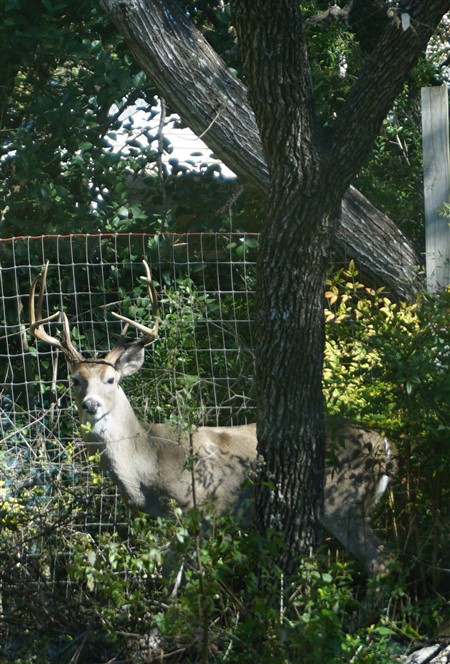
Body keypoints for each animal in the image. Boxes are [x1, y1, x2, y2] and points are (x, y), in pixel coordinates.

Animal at [29, 261, 394, 576]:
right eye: (75, 380)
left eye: (111, 380)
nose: (91, 405)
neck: (147, 462)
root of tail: (384, 444)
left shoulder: (200, 509)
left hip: (344, 500)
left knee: (381, 562)